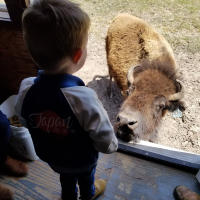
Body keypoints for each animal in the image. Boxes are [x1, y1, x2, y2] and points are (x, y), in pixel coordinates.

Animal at [106, 13, 184, 142]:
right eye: (129, 92)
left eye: (161, 105)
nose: (125, 121)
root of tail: (121, 15)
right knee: (110, 75)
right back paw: (110, 93)